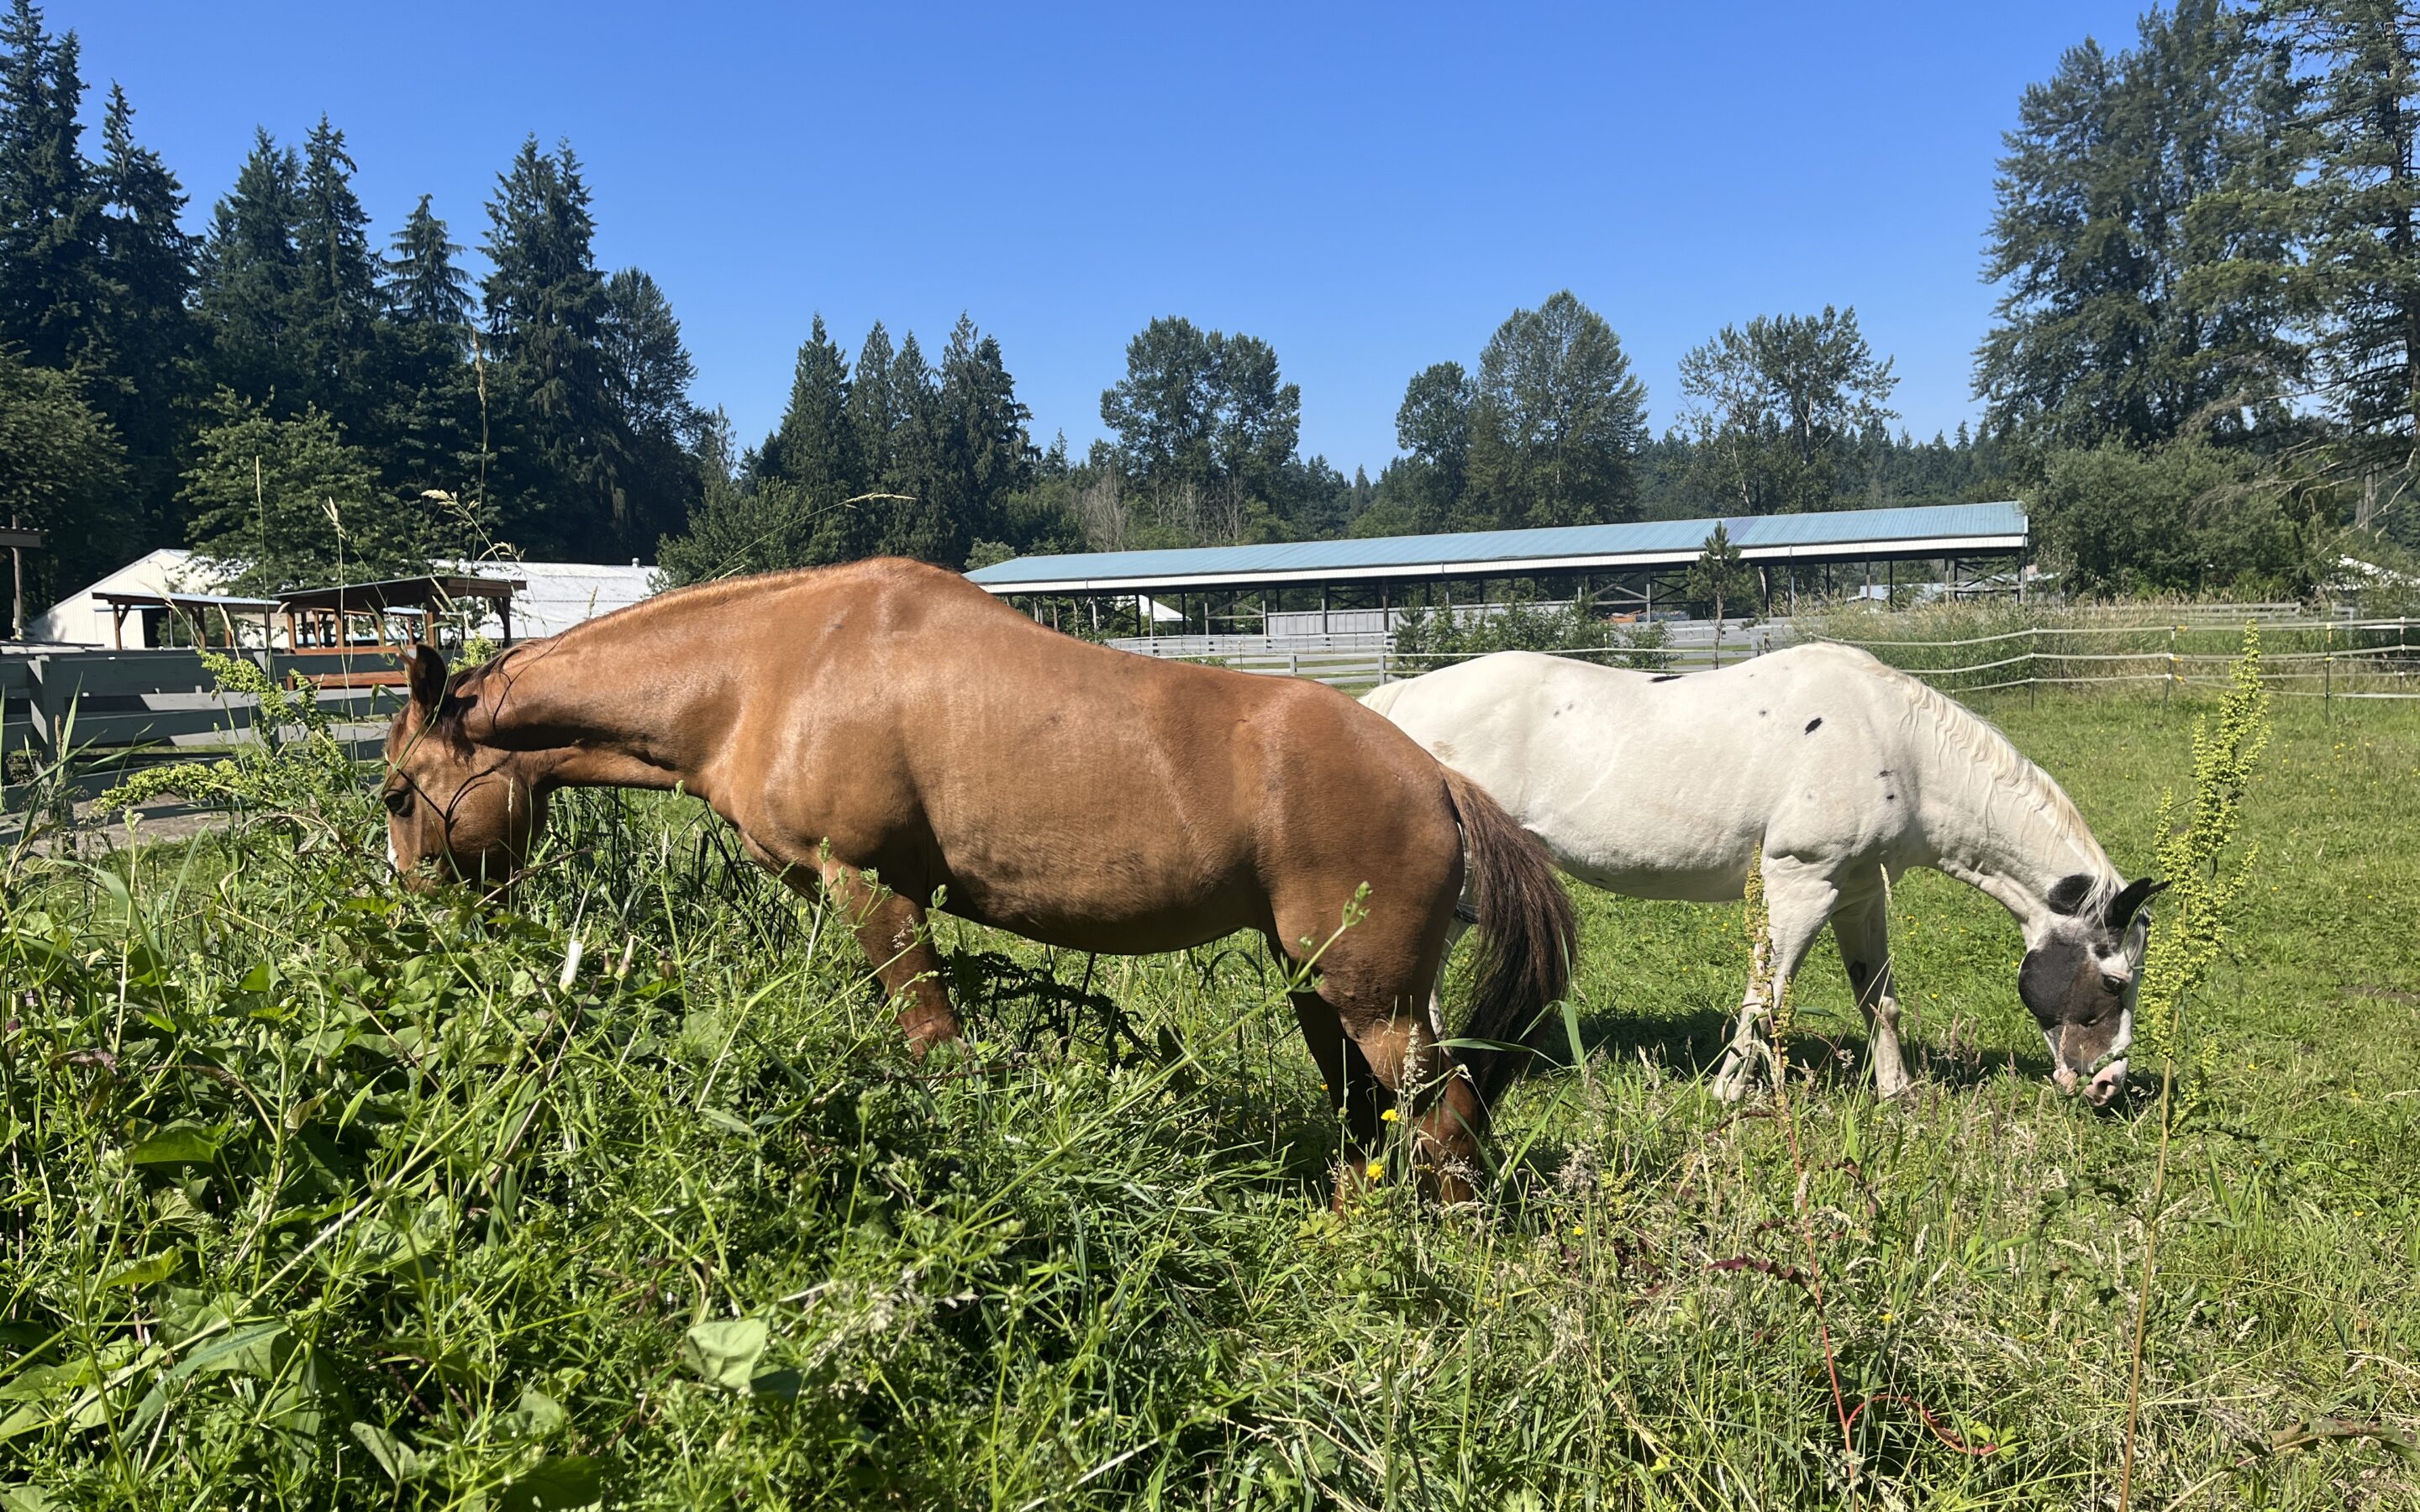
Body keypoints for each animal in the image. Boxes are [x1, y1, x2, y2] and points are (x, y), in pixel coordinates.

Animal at [387, 554, 1577, 1189]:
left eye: (399, 796)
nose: (423, 929)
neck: (769, 667)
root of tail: (1437, 778)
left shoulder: (877, 893)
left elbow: (936, 1049)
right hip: (1318, 987)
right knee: (1364, 1120)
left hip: (1377, 1001)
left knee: (1447, 1117)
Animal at [1365, 643, 2178, 1103]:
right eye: (2115, 981)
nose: (2107, 1084)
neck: (1898, 744)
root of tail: (1395, 704)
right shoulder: (1801, 883)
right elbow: (1766, 999)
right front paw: (1728, 1098)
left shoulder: (1857, 895)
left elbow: (1879, 1001)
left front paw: (1897, 1096)